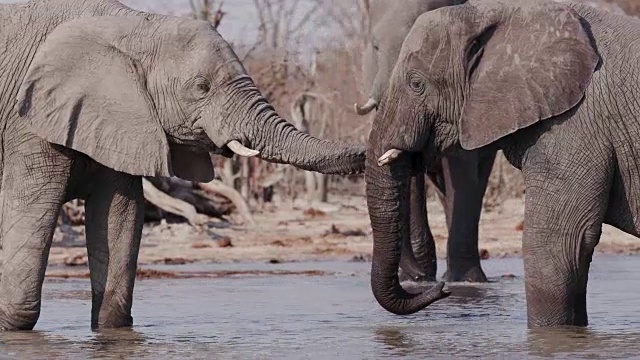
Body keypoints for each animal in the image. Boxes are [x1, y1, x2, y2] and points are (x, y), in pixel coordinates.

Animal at [0, 0, 362, 332]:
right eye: (201, 87)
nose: (365, 150)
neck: (132, 24)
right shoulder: (29, 126)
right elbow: (34, 207)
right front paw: (11, 325)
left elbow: (120, 214)